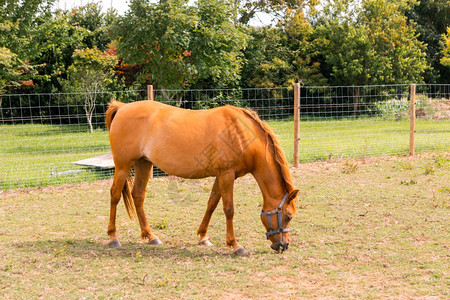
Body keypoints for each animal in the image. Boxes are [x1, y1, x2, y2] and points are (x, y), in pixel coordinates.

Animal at [105, 99, 298, 254]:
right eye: (288, 216)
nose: (284, 245)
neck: (240, 134)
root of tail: (121, 107)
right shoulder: (226, 175)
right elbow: (229, 209)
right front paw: (235, 245)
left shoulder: (222, 176)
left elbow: (212, 204)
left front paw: (203, 237)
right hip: (123, 166)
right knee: (114, 195)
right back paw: (113, 238)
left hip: (143, 164)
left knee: (138, 196)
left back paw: (150, 236)